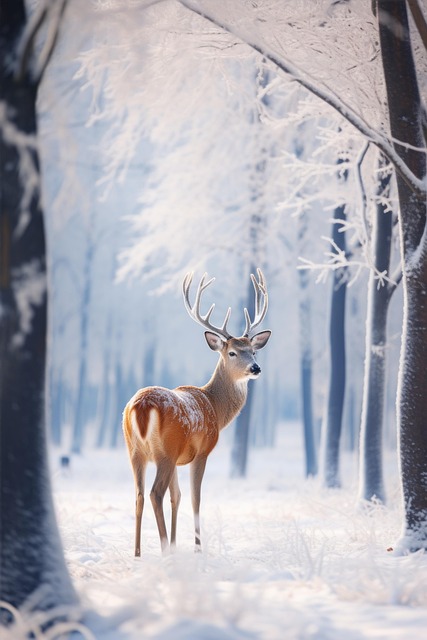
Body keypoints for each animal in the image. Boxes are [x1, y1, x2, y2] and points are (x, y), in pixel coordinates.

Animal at [122, 269, 271, 556]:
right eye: (232, 352)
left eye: (254, 351)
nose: (256, 368)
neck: (214, 406)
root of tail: (141, 406)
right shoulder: (201, 451)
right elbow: (195, 498)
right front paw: (197, 549)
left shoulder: (179, 458)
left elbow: (177, 497)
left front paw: (177, 544)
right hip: (164, 451)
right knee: (154, 493)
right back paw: (163, 550)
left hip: (134, 450)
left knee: (138, 495)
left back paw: (137, 553)